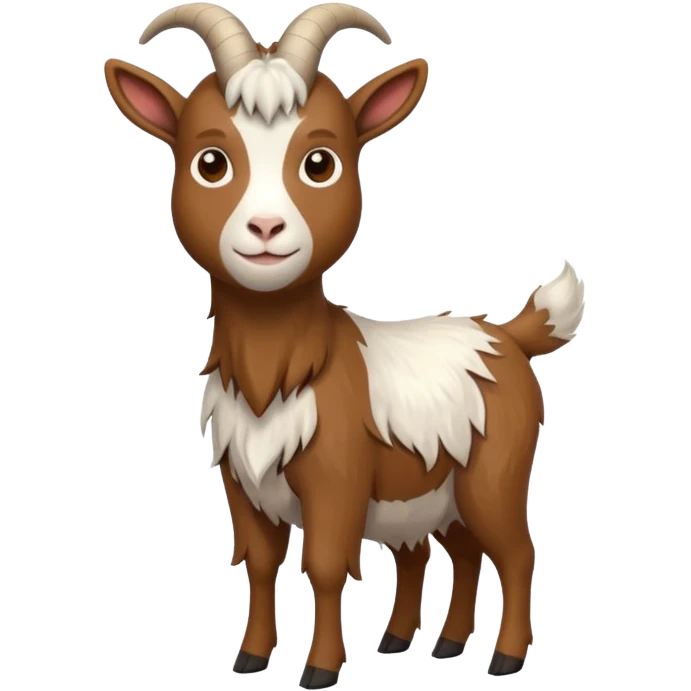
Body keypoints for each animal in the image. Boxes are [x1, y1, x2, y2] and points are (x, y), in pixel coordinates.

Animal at [104, 2, 586, 686]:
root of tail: (504, 334)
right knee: (452, 552)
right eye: (211, 163)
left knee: (516, 553)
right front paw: (250, 658)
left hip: (493, 476)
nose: (266, 228)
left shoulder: (337, 478)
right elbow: (260, 565)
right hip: (434, 493)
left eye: (320, 163)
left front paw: (321, 668)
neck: (281, 372)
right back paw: (427, 642)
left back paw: (506, 656)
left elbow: (326, 567)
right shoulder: (242, 484)